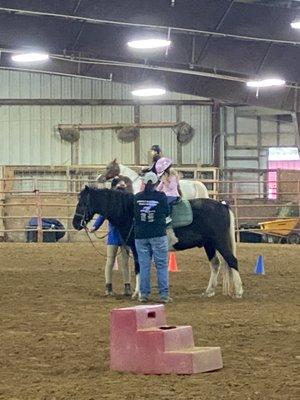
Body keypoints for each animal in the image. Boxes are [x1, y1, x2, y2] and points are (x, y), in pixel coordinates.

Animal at [73, 187, 244, 296]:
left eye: (83, 203)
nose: (75, 223)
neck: (131, 212)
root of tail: (223, 206)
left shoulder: (137, 247)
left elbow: (139, 268)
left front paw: (137, 293)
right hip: (209, 245)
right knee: (215, 264)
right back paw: (209, 291)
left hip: (220, 241)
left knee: (232, 261)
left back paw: (239, 291)